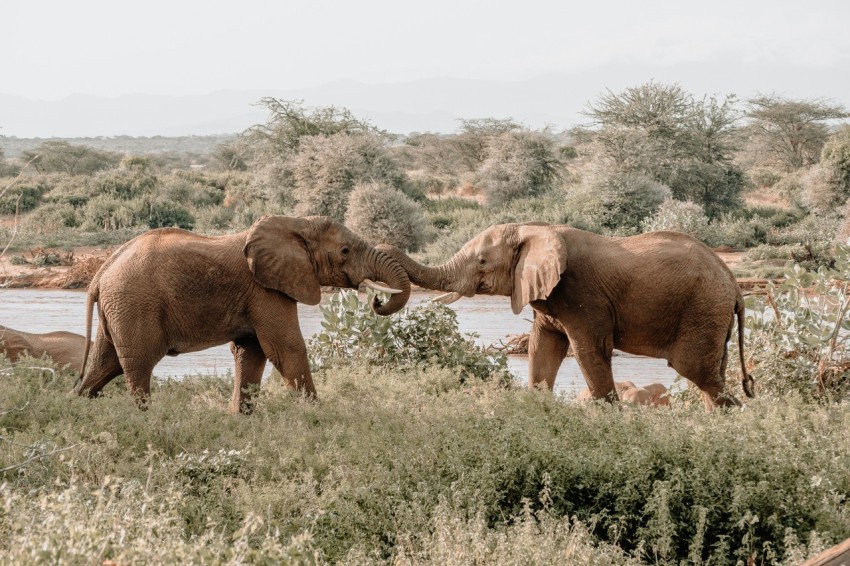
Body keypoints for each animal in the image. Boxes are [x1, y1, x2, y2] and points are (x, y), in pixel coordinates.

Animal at [74, 215, 412, 414]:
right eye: (344, 251)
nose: (376, 300)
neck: (296, 223)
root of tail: (99, 274)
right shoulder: (265, 290)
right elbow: (286, 349)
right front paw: (319, 416)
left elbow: (250, 352)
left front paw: (240, 418)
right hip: (134, 304)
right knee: (137, 364)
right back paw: (146, 419)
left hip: (119, 308)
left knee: (106, 364)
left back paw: (76, 407)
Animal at [374, 223, 752, 412]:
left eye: (482, 261)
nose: (377, 300)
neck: (533, 228)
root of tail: (734, 284)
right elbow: (543, 349)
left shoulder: (581, 295)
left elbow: (587, 353)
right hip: (711, 314)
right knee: (710, 376)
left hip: (703, 309)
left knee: (697, 372)